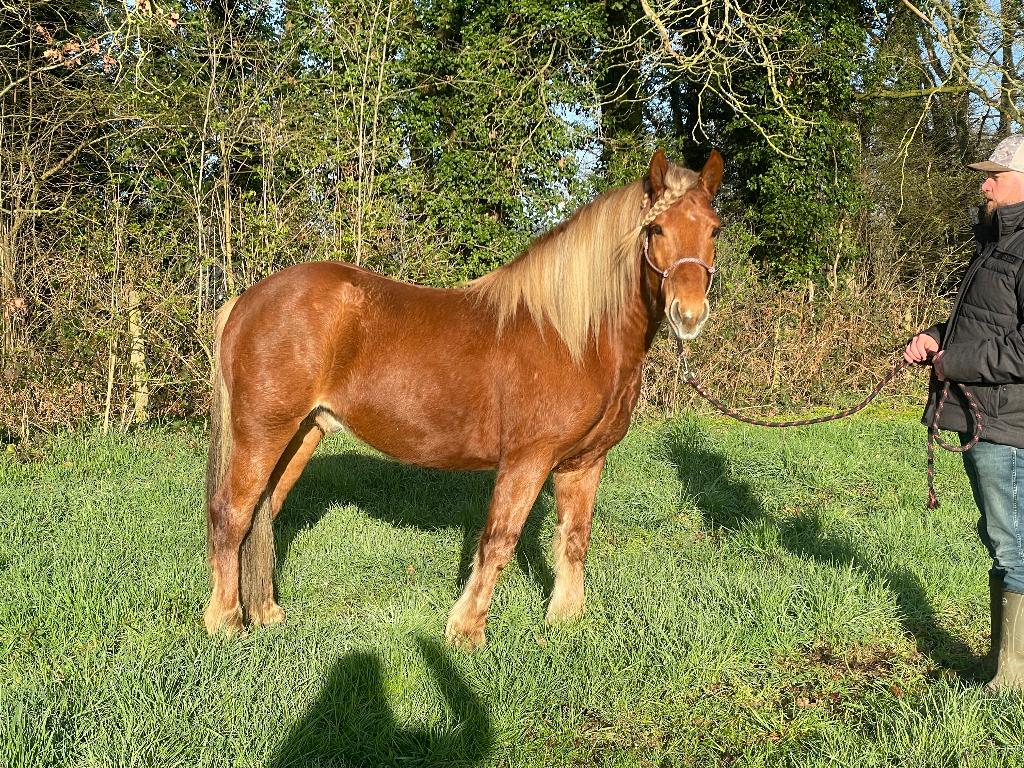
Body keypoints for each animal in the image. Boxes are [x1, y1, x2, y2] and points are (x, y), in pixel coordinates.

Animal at [204, 148, 723, 648]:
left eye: (714, 230)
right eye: (656, 228)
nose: (689, 314)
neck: (573, 336)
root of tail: (246, 301)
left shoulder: (585, 462)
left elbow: (575, 538)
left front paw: (565, 619)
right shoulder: (527, 460)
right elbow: (498, 540)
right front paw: (467, 630)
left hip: (303, 432)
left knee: (263, 514)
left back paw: (266, 613)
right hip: (261, 433)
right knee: (232, 515)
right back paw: (225, 621)